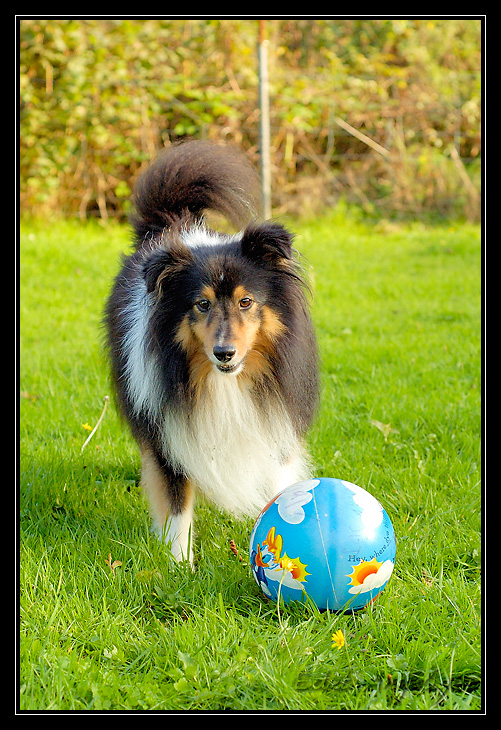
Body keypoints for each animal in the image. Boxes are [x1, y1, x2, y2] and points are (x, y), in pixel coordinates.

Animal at [103, 142, 318, 564]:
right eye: (201, 305)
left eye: (246, 301)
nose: (224, 353)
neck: (224, 383)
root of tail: (171, 224)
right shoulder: (168, 434)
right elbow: (177, 504)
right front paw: (179, 566)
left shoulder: (273, 424)